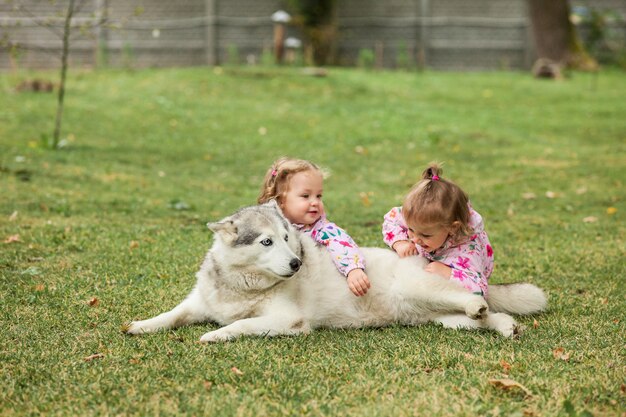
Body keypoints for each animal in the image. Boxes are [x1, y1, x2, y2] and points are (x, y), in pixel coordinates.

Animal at [124, 202, 544, 342]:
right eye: (266, 242)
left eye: (287, 239)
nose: (296, 264)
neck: (243, 287)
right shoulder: (198, 303)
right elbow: (171, 315)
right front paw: (141, 325)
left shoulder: (287, 321)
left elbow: (240, 325)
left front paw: (216, 335)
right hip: (440, 319)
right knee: (484, 316)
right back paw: (505, 326)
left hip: (421, 290)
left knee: (472, 298)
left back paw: (484, 309)